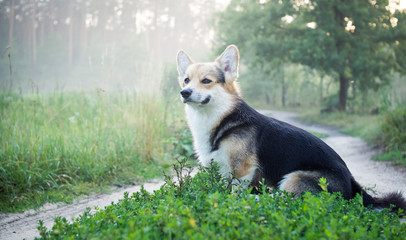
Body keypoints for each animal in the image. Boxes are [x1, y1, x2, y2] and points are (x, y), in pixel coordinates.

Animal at [177, 44, 406, 212]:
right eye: (186, 80)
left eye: (206, 81)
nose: (184, 92)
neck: (222, 117)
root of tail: (353, 184)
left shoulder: (243, 172)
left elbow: (235, 194)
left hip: (294, 177)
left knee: (285, 200)